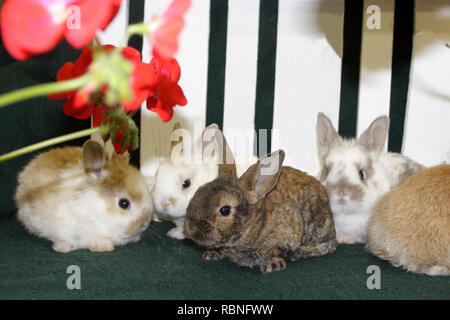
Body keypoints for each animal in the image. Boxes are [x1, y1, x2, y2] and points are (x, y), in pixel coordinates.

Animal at [184, 129, 338, 272]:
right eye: (198, 191)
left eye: (225, 210)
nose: (190, 228)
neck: (254, 223)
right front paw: (211, 254)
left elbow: (274, 250)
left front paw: (272, 265)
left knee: (329, 245)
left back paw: (302, 252)